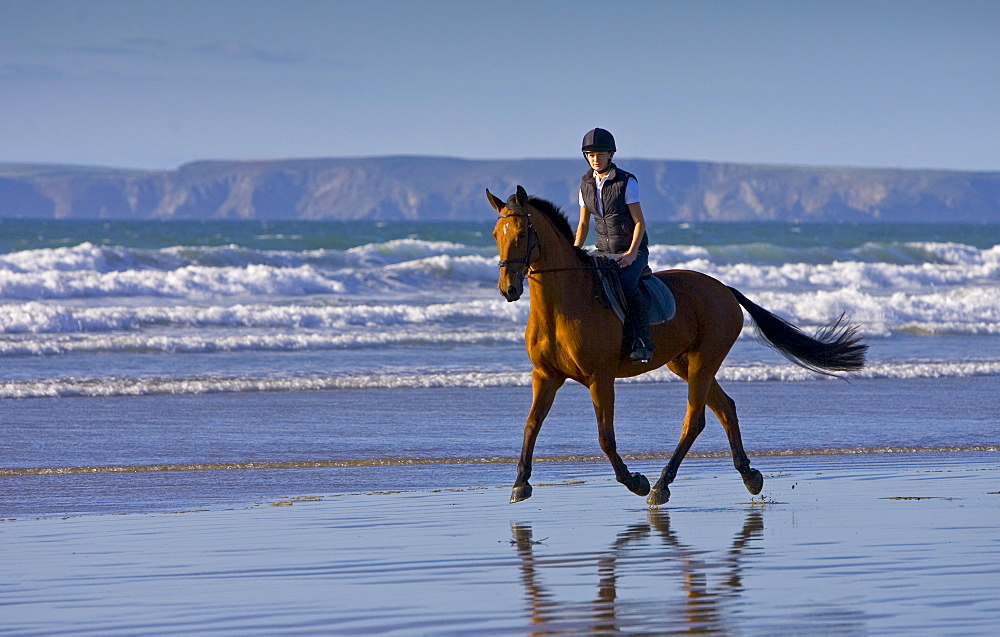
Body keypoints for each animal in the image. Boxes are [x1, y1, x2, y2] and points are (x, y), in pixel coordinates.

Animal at [486, 186, 868, 504]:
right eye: (495, 235)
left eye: (522, 233)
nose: (508, 289)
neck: (562, 304)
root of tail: (724, 289)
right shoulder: (545, 376)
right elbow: (531, 425)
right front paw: (520, 484)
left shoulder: (600, 378)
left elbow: (605, 437)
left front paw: (635, 482)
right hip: (684, 362)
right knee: (725, 408)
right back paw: (749, 475)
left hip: (704, 359)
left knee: (694, 419)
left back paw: (661, 485)